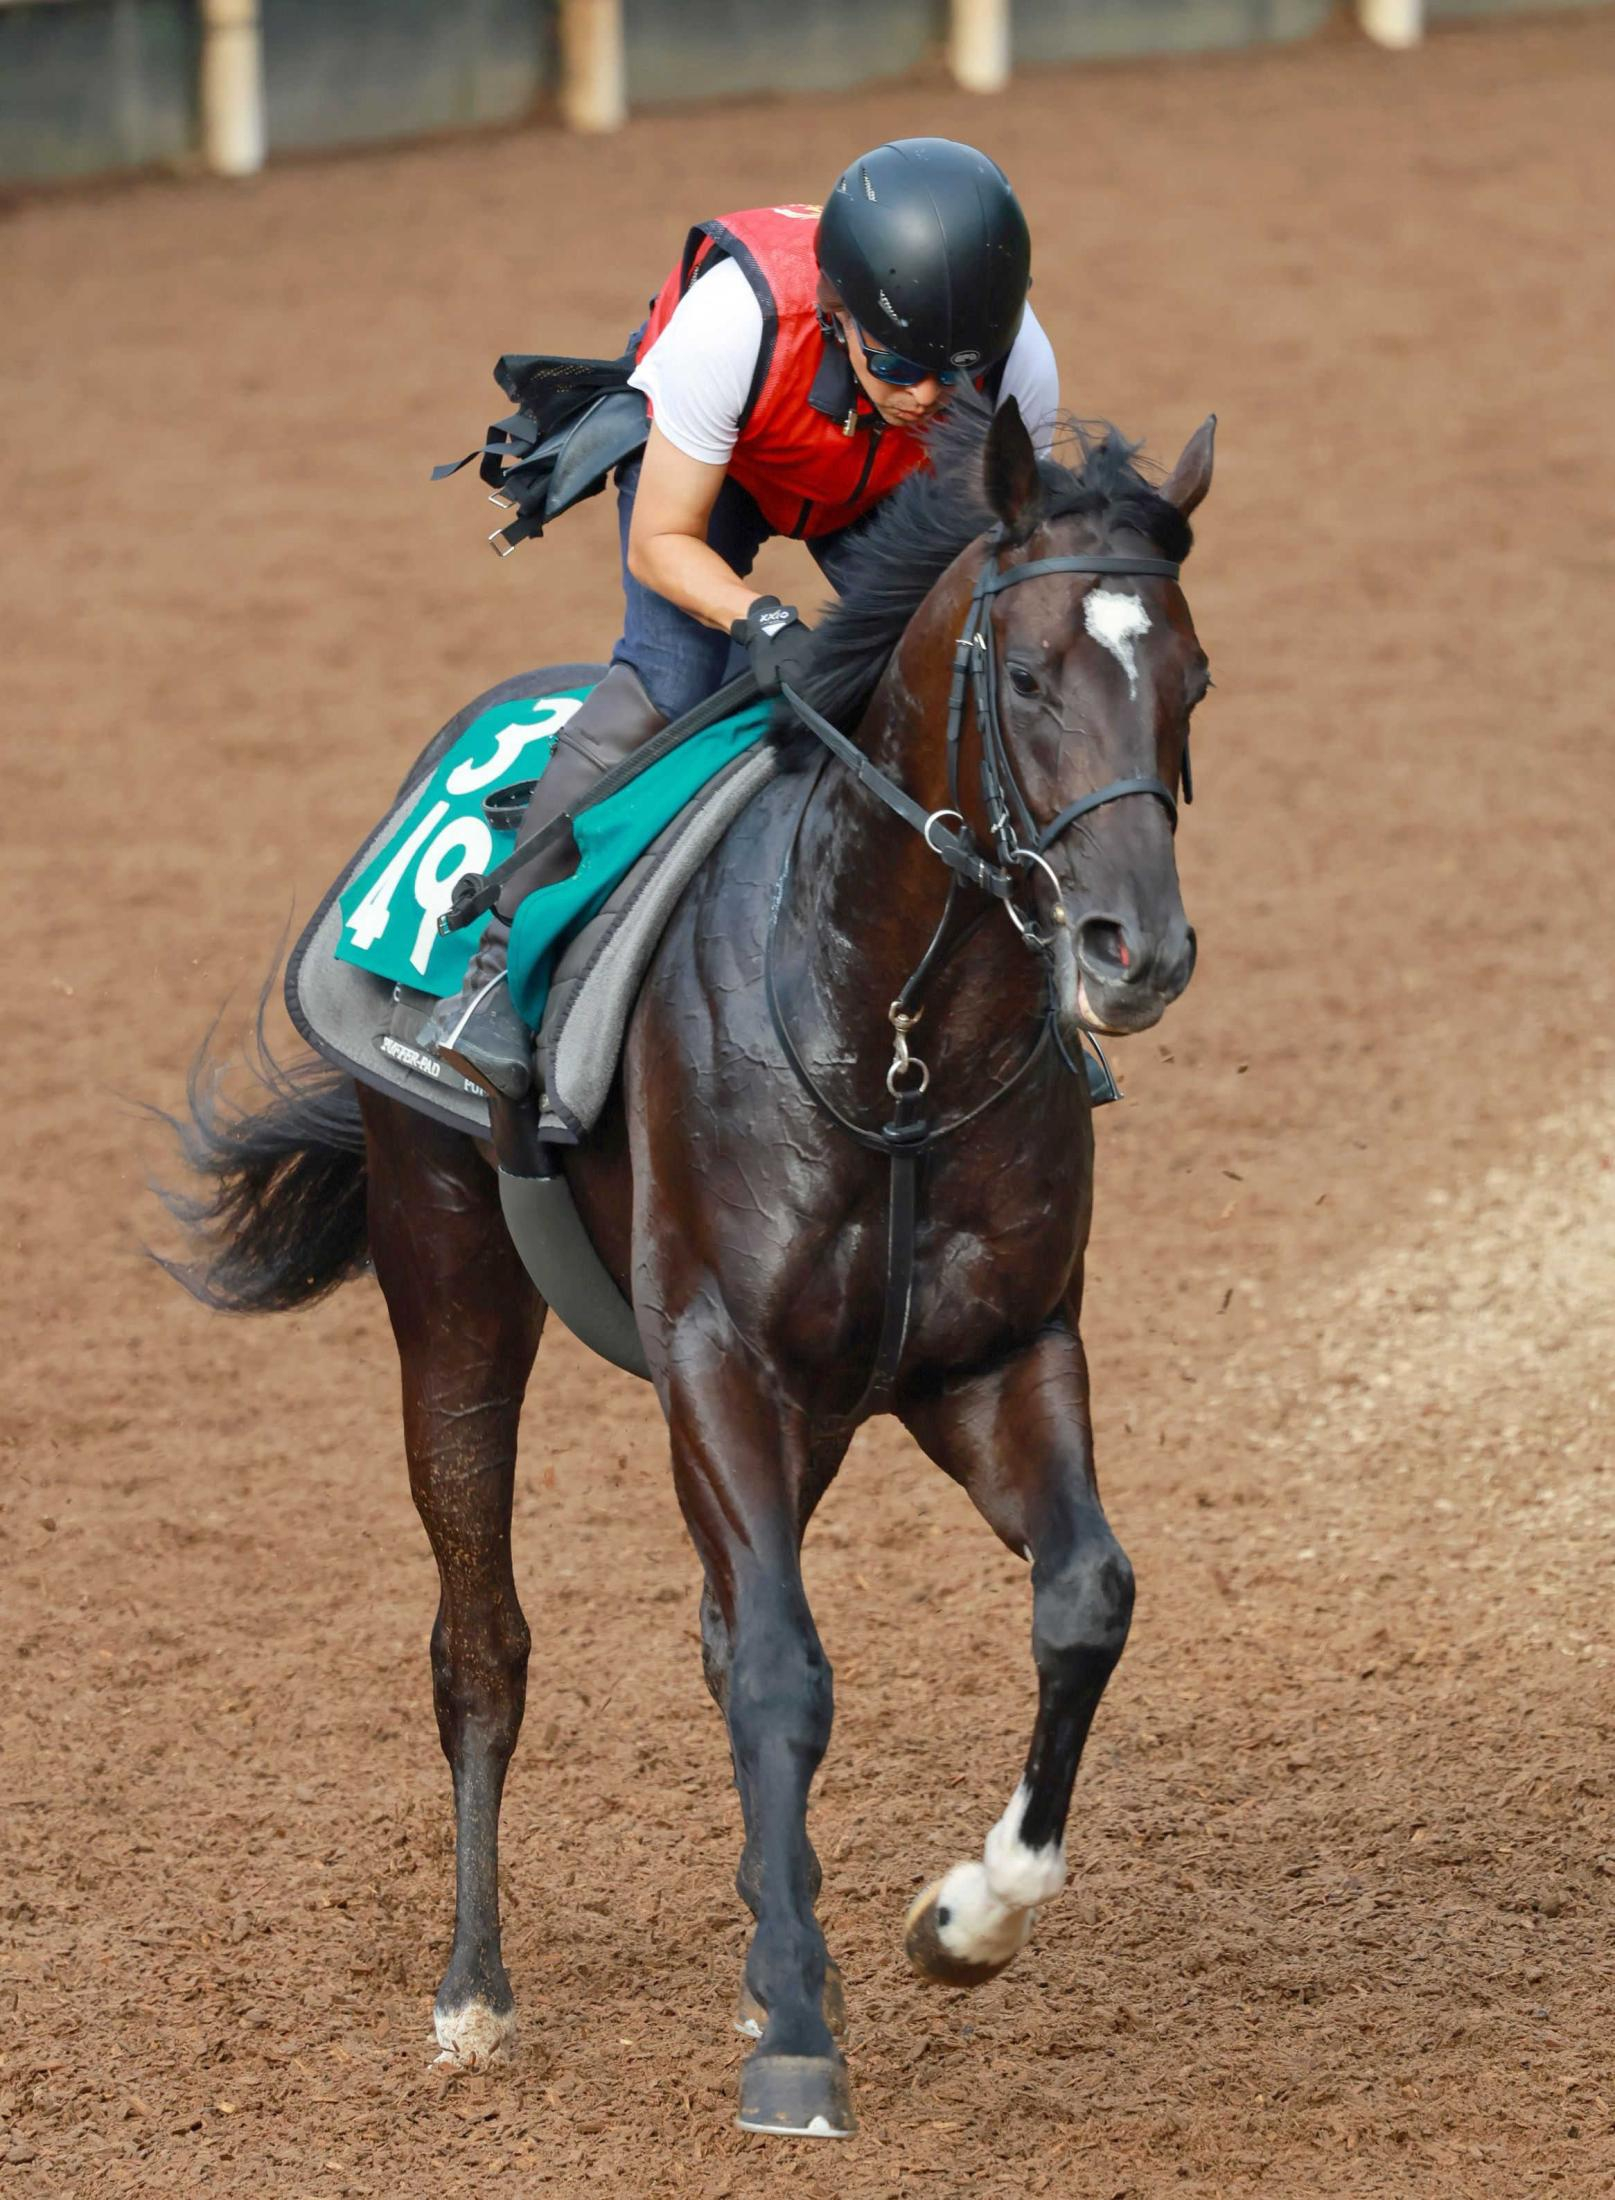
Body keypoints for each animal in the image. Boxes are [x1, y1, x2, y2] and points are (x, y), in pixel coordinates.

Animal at [160, 392, 1214, 2139]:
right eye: (1023, 677)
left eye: (1189, 677)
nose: (1134, 952)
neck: (896, 1041)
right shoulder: (719, 1353)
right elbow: (781, 1670)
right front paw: (793, 2033)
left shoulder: (988, 1355)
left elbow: (1081, 1598)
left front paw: (963, 1916)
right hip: (452, 1279)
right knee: (483, 1645)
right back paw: (473, 1990)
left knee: (719, 1625)